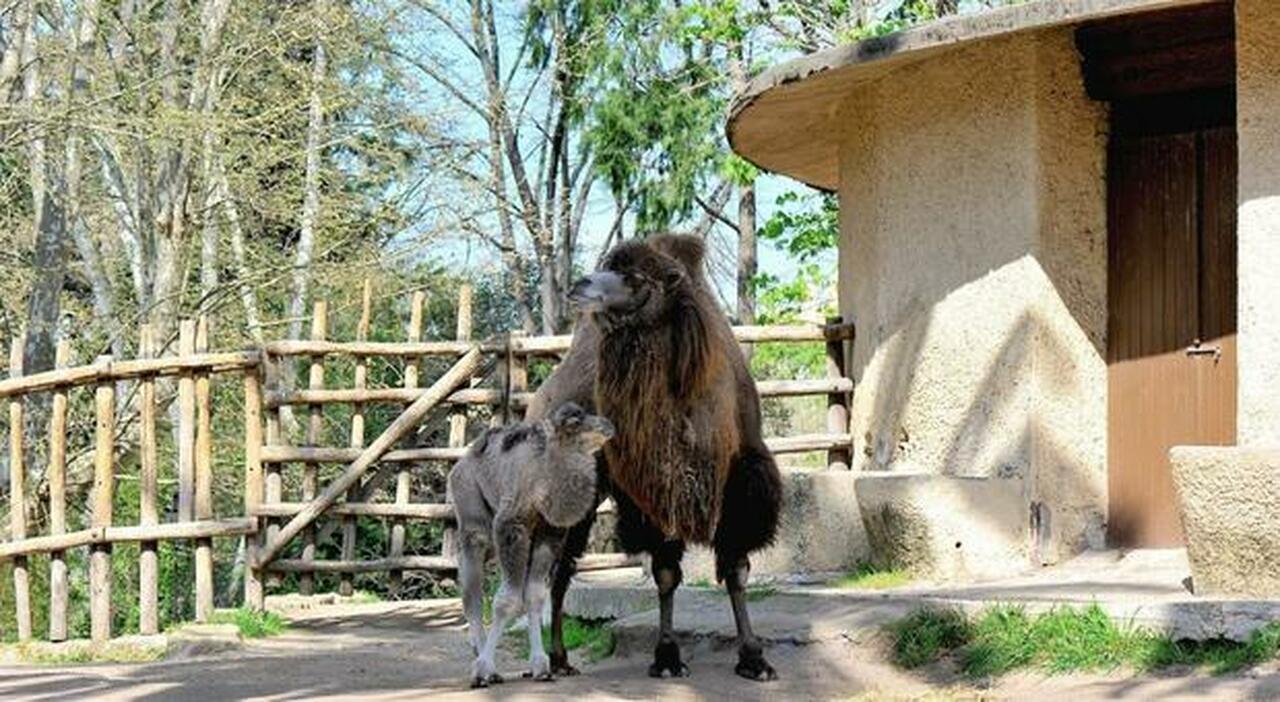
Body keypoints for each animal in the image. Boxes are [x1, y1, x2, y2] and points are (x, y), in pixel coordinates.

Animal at [448, 402, 611, 686]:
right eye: (574, 422)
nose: (608, 425)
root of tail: (458, 465)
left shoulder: (550, 532)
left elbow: (534, 595)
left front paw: (541, 666)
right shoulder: (511, 526)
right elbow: (506, 600)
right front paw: (484, 668)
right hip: (472, 517)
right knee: (472, 593)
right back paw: (484, 667)